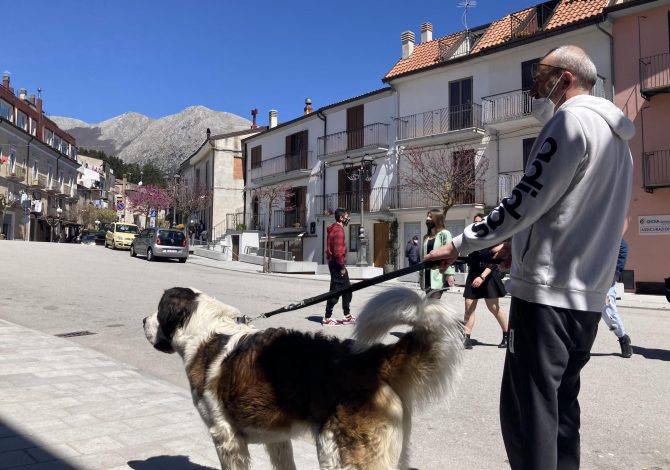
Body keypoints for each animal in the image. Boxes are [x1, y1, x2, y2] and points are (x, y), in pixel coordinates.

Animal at [144, 286, 464, 470]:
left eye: (158, 310)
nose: (144, 320)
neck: (206, 331)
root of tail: (373, 358)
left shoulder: (226, 436)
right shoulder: (277, 438)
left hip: (340, 451)